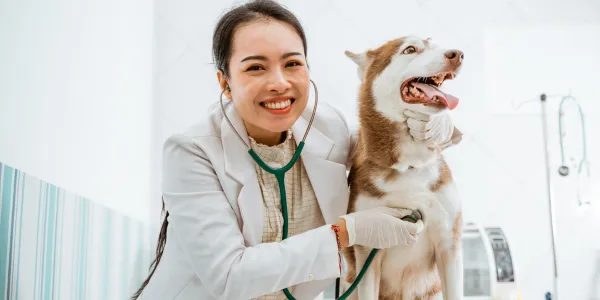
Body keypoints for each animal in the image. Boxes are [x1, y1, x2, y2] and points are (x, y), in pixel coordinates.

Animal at [342, 35, 464, 300]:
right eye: (410, 49)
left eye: (436, 45)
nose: (458, 54)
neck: (410, 166)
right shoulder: (368, 250)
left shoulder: (448, 243)